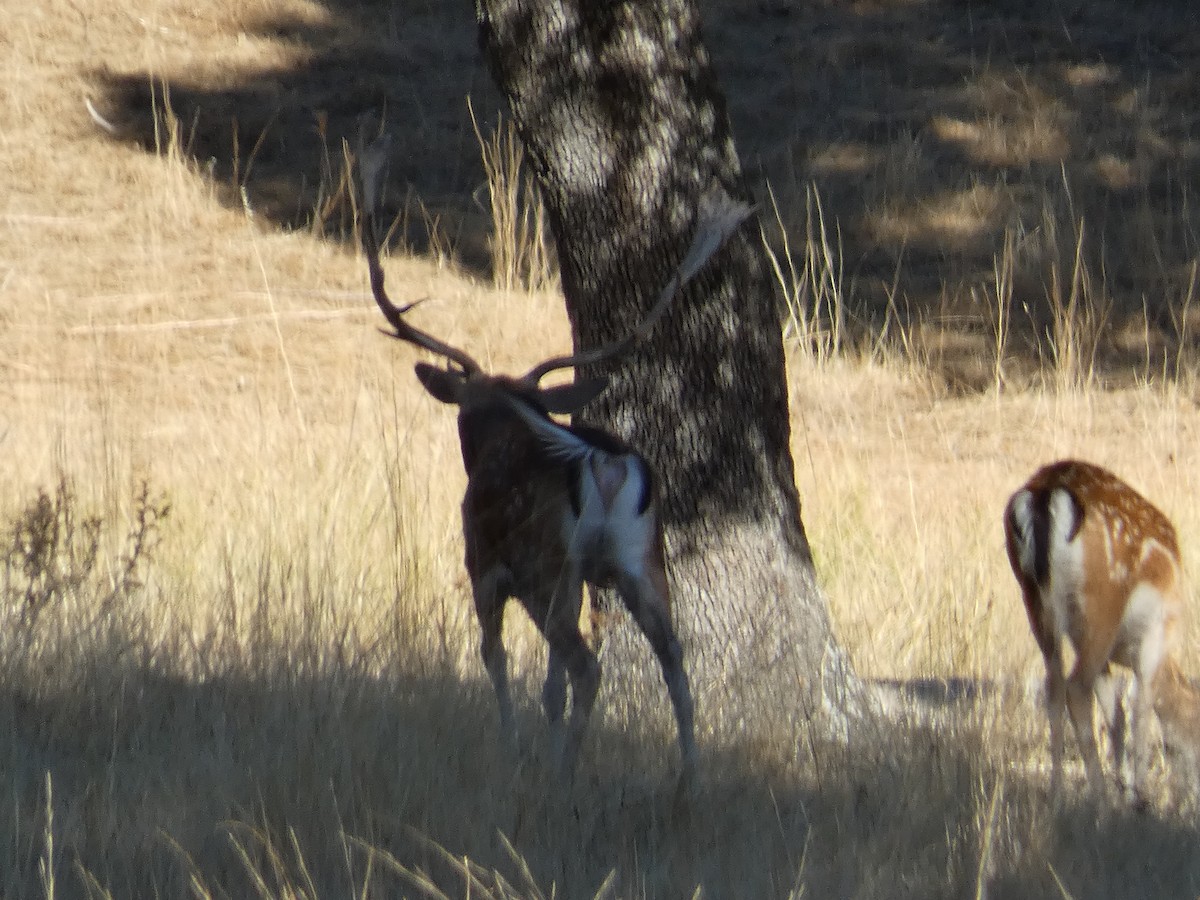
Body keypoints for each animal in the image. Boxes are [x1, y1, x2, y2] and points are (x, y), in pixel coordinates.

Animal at [358, 137, 751, 777]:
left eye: (464, 417)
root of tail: (607, 468)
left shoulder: (484, 562)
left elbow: (494, 656)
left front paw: (512, 744)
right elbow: (549, 686)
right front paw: (541, 737)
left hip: (548, 566)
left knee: (586, 664)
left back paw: (566, 771)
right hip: (639, 561)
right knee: (673, 659)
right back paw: (687, 774)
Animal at [1004, 459, 1200, 806]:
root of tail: (1046, 494)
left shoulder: (1098, 650)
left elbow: (1116, 714)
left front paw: (1123, 786)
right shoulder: (1155, 634)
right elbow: (1139, 706)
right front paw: (1138, 796)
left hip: (1035, 600)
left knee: (1054, 684)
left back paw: (1057, 792)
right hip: (1102, 603)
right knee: (1076, 686)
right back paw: (1097, 796)